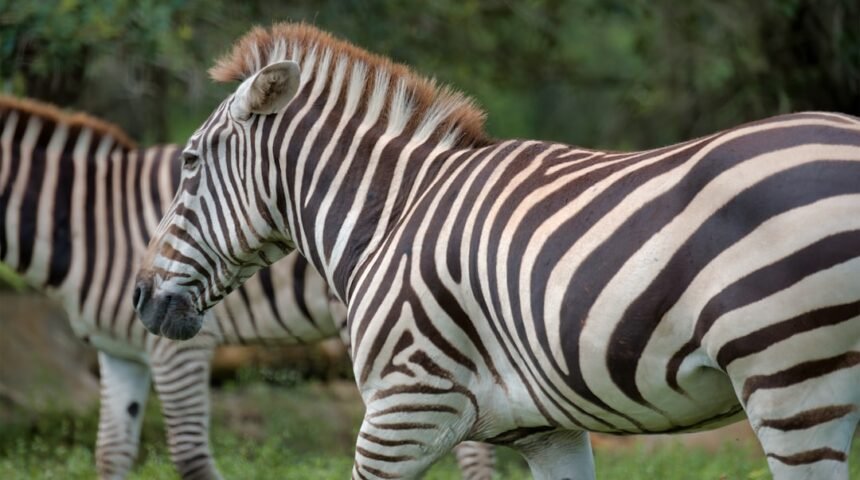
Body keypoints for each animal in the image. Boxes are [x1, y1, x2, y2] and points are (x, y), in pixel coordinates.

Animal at [0, 95, 495, 480]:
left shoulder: (178, 349)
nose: (139, 298)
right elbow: (111, 455)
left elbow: (190, 457)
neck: (91, 220)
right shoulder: (119, 352)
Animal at [133, 23, 860, 479]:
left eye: (189, 164)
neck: (393, 216)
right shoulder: (548, 431)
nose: (140, 298)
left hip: (791, 376)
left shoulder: (402, 408)